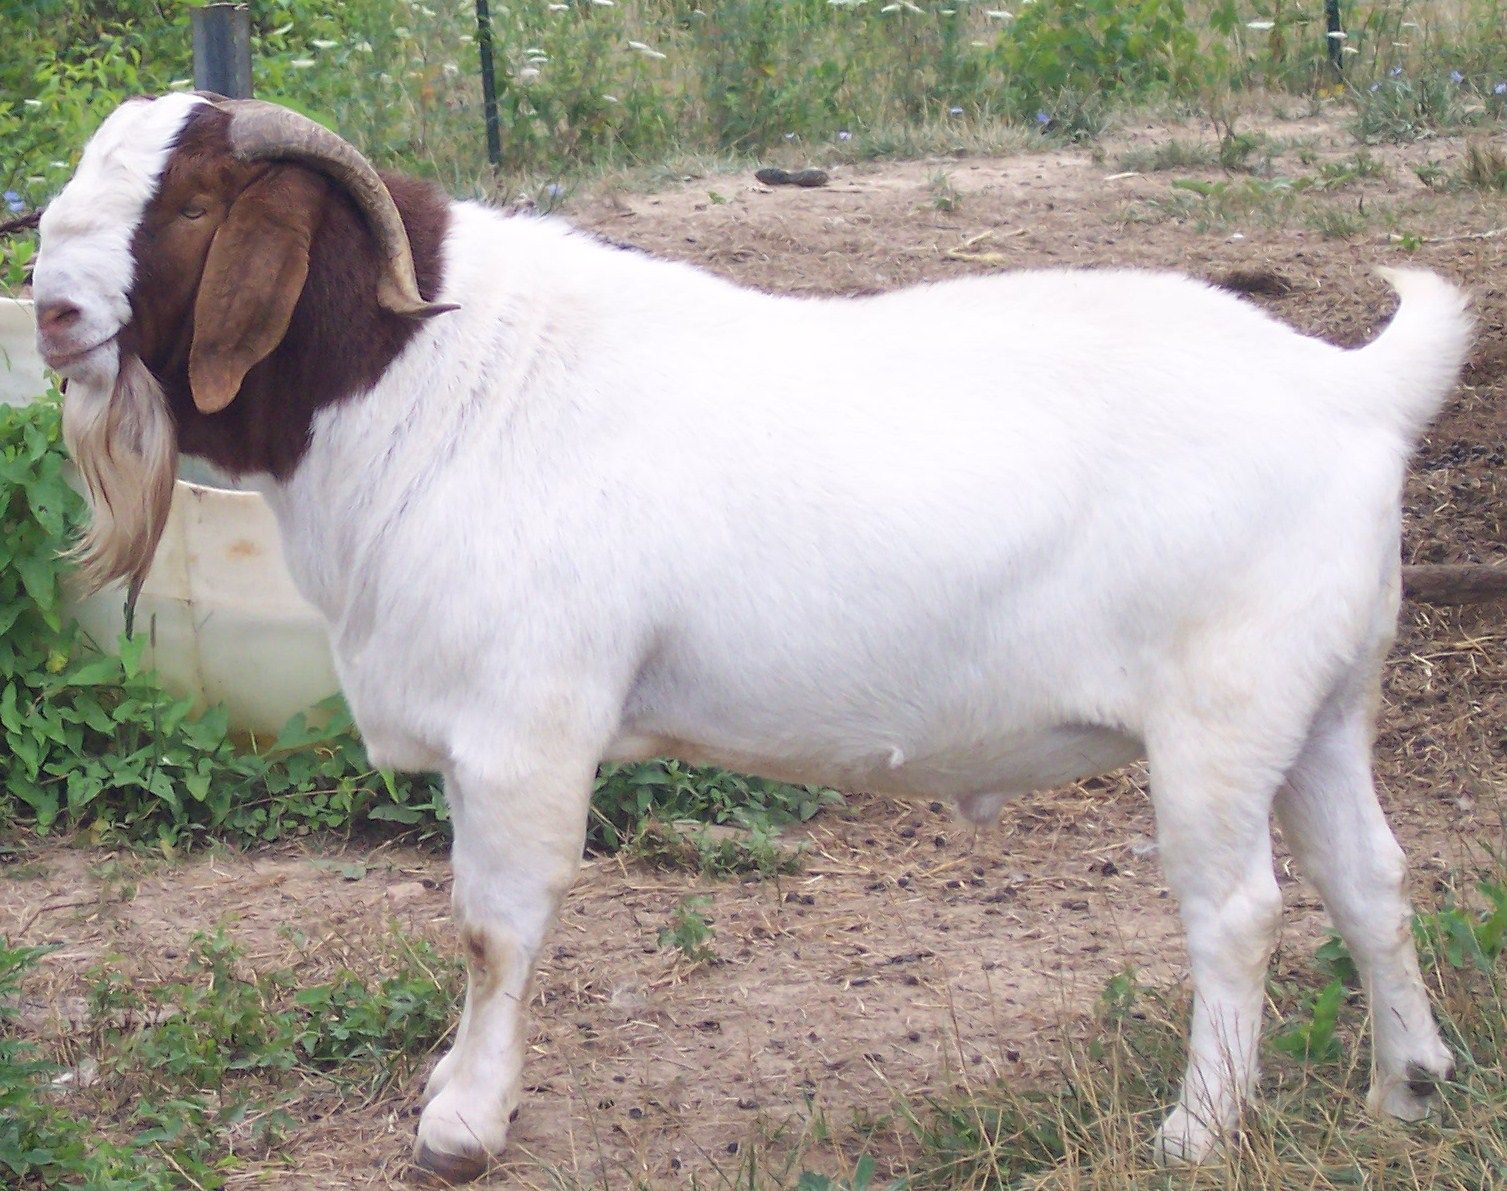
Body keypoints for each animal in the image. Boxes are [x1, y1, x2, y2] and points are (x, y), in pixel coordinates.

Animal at [35, 93, 1472, 1183]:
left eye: (196, 205)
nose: (48, 306)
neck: (436, 378)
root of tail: (1352, 389)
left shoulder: (522, 724)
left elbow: (493, 927)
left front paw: (460, 1121)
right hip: (1322, 702)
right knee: (1369, 878)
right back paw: (1406, 1087)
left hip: (1217, 715)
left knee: (1234, 910)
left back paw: (1193, 1129)